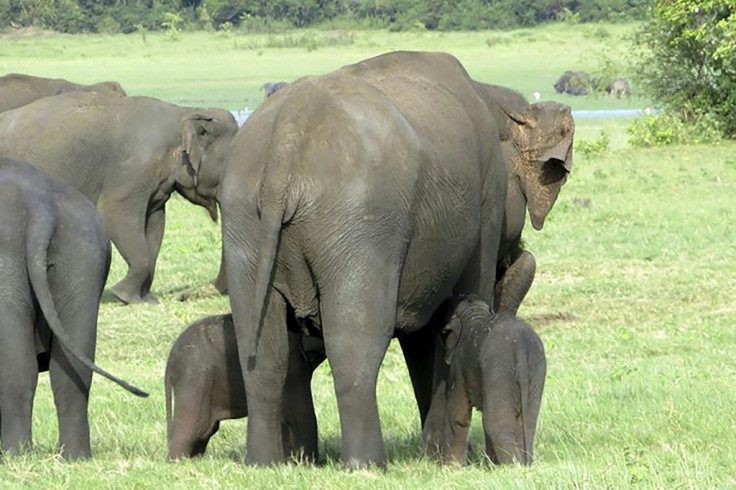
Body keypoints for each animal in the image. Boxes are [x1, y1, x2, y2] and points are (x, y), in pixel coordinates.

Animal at [0, 89, 239, 302]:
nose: (184, 296)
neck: (182, 113)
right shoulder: (132, 171)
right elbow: (115, 215)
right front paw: (123, 295)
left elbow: (155, 223)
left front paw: (145, 299)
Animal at [0, 158, 148, 460]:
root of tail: (39, 206)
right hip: (83, 255)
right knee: (70, 372)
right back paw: (75, 457)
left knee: (16, 366)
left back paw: (15, 455)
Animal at [167, 314, 328, 460]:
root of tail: (170, 360)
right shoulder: (293, 366)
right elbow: (300, 414)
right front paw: (307, 463)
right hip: (194, 380)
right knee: (193, 427)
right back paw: (178, 461)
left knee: (205, 430)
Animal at [426, 296, 548, 466]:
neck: (473, 314)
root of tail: (520, 349)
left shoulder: (458, 365)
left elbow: (458, 416)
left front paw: (452, 468)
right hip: (536, 370)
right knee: (527, 422)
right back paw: (523, 464)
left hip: (498, 371)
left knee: (494, 423)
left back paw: (513, 467)